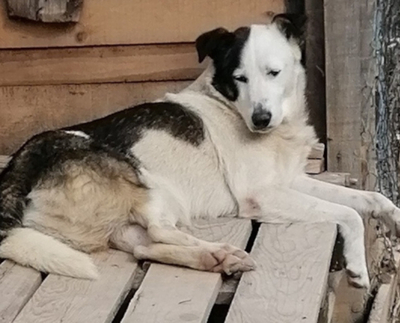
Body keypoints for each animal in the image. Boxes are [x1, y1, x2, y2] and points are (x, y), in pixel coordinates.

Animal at [0, 13, 400, 292]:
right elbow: (349, 213)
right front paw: (357, 266)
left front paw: (393, 218)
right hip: (147, 182)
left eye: (273, 72)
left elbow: (369, 198)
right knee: (159, 231)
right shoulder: (261, 196)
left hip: (126, 219)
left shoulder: (291, 181)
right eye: (239, 78)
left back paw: (215, 257)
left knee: (145, 247)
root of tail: (17, 167)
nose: (261, 119)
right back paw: (219, 252)